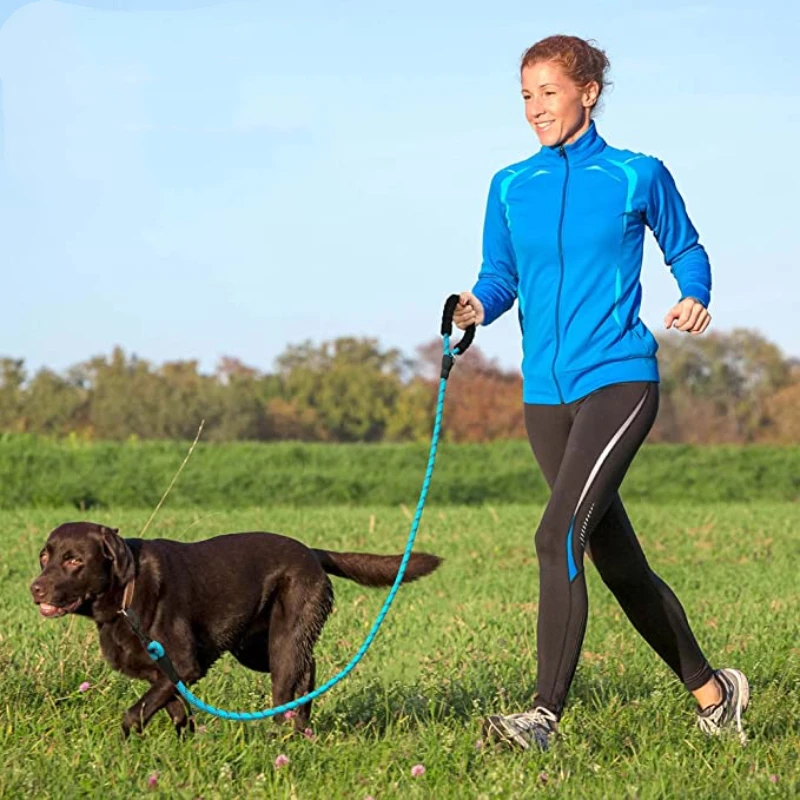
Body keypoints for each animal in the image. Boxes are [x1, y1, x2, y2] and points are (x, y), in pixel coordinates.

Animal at [29, 520, 444, 736]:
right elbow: (171, 704)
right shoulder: (161, 671)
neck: (125, 593)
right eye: (45, 556)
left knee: (290, 685)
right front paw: (185, 738)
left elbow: (137, 711)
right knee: (309, 669)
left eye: (74, 560)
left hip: (283, 643)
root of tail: (312, 553)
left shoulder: (183, 663)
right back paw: (300, 728)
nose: (35, 588)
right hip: (253, 648)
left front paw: (130, 739)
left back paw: (281, 738)